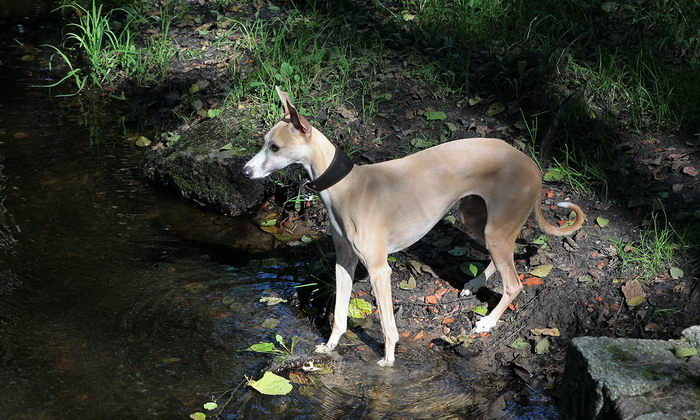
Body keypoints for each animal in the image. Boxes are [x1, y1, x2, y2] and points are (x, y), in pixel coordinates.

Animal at [243, 88, 584, 368]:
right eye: (265, 144)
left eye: (274, 147)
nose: (245, 171)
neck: (347, 187)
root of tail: (532, 165)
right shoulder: (344, 262)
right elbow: (339, 315)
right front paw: (329, 347)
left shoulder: (379, 270)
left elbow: (388, 326)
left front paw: (388, 360)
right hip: (479, 220)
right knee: (498, 260)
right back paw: (476, 284)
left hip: (496, 228)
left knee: (514, 284)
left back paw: (487, 322)